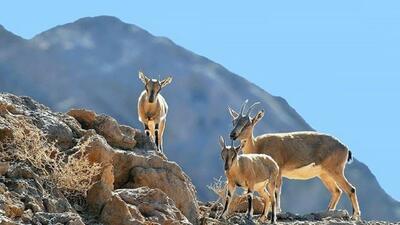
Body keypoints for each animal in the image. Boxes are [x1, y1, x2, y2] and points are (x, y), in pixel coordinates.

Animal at [228, 100, 362, 220]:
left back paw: (355, 215)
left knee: (351, 189)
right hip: (324, 174)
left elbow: (277, 189)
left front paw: (277, 210)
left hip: (335, 171)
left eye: (247, 124)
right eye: (234, 121)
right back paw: (329, 211)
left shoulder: (278, 171)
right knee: (337, 191)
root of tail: (345, 148)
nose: (232, 134)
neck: (258, 145)